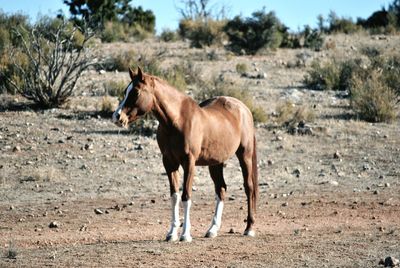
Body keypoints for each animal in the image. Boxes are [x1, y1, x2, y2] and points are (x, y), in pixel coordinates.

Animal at [111, 66, 260, 241]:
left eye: (135, 92)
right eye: (125, 91)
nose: (117, 116)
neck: (176, 121)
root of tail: (243, 108)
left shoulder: (189, 162)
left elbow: (186, 196)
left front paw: (185, 234)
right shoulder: (169, 162)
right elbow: (174, 196)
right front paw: (171, 233)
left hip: (245, 155)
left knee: (249, 187)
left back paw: (249, 228)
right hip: (215, 163)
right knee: (221, 189)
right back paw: (212, 230)